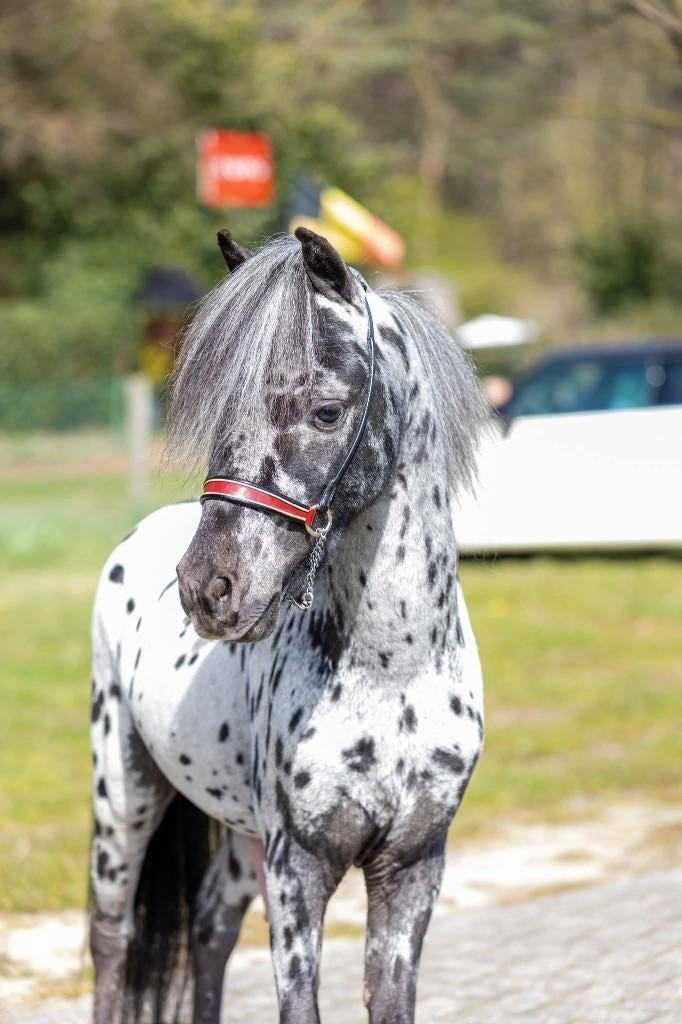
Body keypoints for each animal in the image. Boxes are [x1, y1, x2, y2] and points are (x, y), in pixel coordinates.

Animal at [88, 226, 487, 1024]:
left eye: (327, 411)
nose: (209, 587)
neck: (392, 671)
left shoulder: (411, 867)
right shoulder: (296, 872)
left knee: (210, 926)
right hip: (123, 797)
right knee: (112, 942)